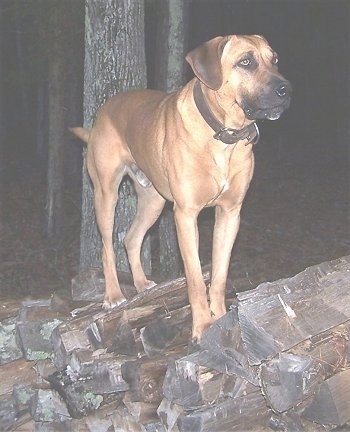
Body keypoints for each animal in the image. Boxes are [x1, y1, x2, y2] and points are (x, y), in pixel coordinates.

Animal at [72, 34, 292, 340]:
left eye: (275, 59)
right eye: (246, 62)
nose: (287, 89)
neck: (223, 135)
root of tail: (104, 110)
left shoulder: (230, 213)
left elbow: (219, 274)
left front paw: (220, 317)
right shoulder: (186, 214)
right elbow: (196, 279)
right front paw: (202, 326)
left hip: (153, 201)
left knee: (131, 239)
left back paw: (142, 284)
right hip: (106, 194)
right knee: (107, 246)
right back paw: (114, 295)